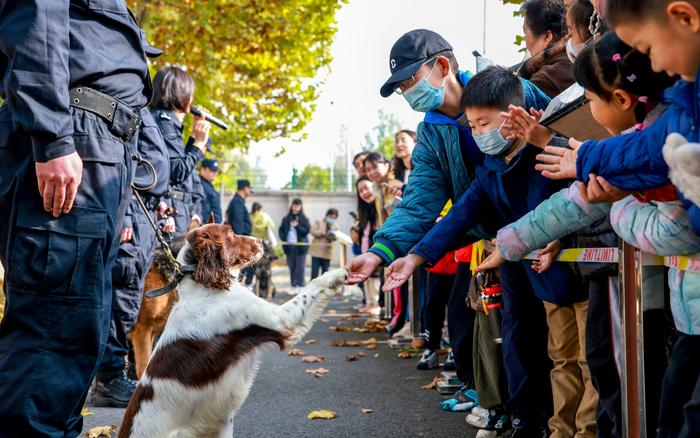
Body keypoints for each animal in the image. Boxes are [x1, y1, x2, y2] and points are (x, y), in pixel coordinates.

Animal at [123, 224, 350, 436]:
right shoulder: (280, 319)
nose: (260, 241)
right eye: (230, 233)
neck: (203, 289)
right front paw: (339, 273)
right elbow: (312, 286)